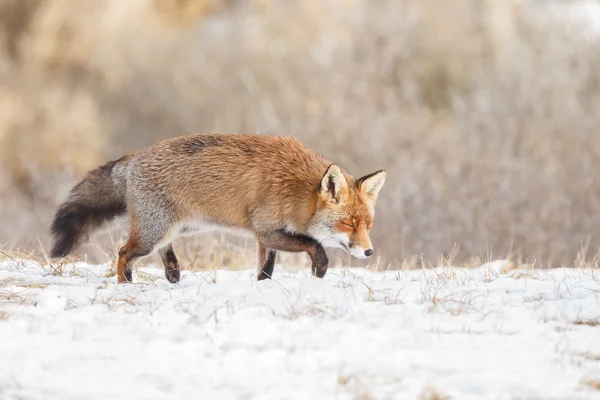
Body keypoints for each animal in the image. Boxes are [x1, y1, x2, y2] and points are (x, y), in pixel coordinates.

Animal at [49, 135, 386, 284]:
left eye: (368, 224)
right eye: (348, 223)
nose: (369, 252)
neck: (298, 191)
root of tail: (135, 157)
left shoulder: (264, 239)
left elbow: (265, 270)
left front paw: (262, 288)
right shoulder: (267, 230)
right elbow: (315, 244)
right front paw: (320, 269)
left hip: (176, 228)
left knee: (161, 249)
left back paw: (173, 273)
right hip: (153, 232)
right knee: (122, 253)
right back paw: (126, 285)